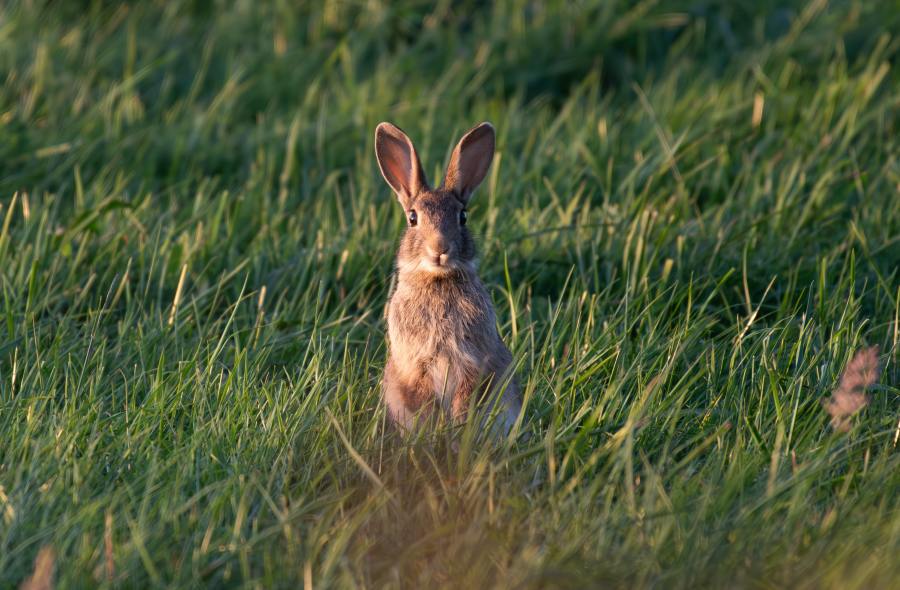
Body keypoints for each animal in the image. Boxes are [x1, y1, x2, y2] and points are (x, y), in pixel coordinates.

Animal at [374, 121, 522, 434]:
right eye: (413, 218)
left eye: (462, 217)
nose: (439, 248)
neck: (437, 281)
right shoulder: (417, 364)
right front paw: (433, 433)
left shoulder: (472, 361)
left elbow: (465, 397)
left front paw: (457, 429)